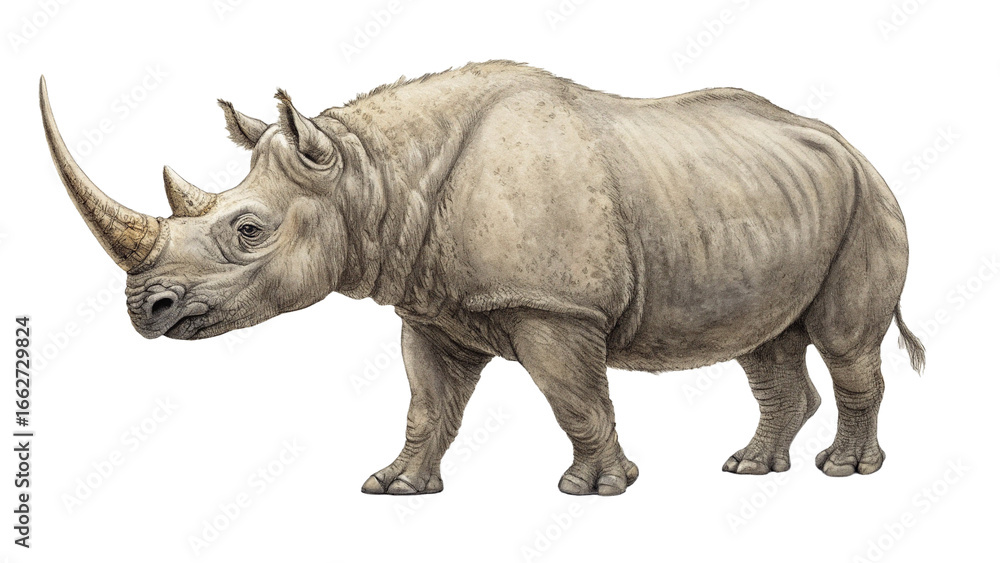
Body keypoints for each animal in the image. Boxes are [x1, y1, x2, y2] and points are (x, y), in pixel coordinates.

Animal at [40, 61, 924, 496]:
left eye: (247, 231)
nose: (144, 308)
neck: (372, 177)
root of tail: (856, 150)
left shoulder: (554, 306)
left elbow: (575, 397)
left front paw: (594, 488)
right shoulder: (428, 307)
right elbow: (428, 403)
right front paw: (396, 486)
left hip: (869, 199)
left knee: (843, 343)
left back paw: (843, 474)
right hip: (771, 199)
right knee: (765, 344)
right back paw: (749, 468)